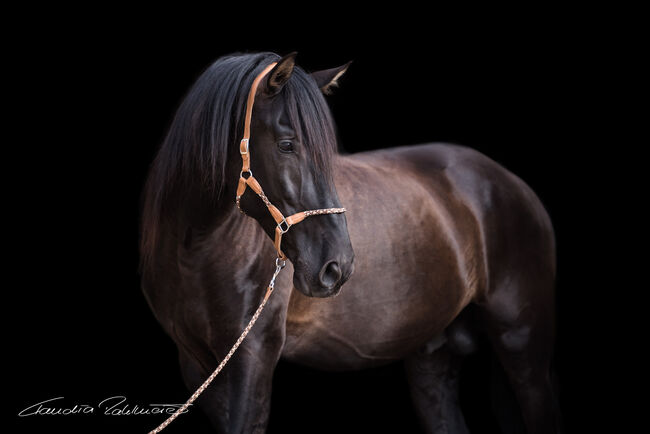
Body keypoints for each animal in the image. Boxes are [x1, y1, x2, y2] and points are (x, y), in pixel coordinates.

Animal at [140, 52, 556, 432]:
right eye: (287, 144)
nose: (336, 267)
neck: (195, 249)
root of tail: (512, 184)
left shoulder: (253, 356)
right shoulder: (197, 368)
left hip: (522, 343)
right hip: (431, 356)